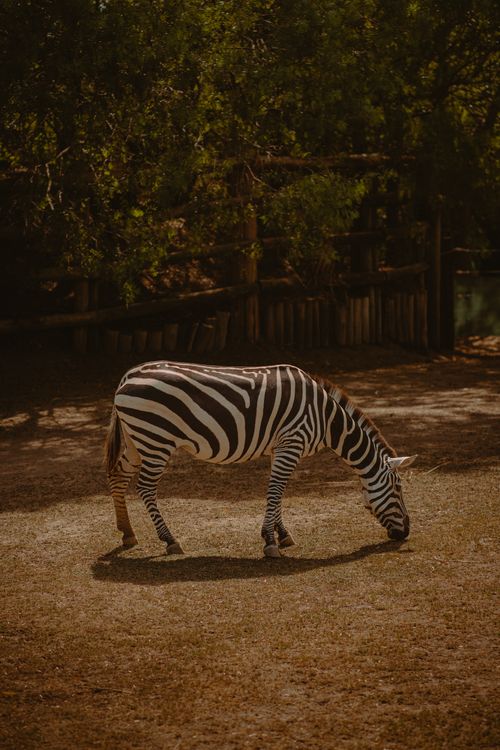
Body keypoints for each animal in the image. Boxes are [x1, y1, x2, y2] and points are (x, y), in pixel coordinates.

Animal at [105, 361, 416, 557]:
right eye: (398, 488)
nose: (406, 532)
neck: (326, 418)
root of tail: (129, 375)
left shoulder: (281, 447)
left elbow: (278, 493)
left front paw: (282, 534)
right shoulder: (292, 442)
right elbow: (276, 490)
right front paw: (269, 541)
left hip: (137, 441)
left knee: (118, 477)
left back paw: (127, 533)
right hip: (156, 440)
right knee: (145, 488)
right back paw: (170, 540)